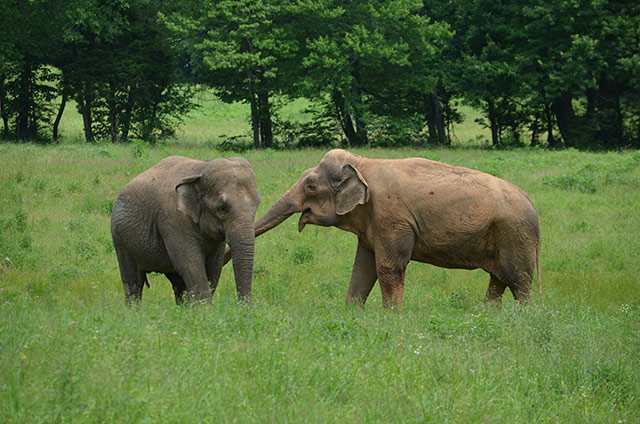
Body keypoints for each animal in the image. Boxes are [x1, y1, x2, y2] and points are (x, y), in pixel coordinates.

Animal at [112, 156, 260, 304]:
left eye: (257, 204)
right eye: (222, 209)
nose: (243, 306)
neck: (200, 169)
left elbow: (215, 265)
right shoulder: (173, 219)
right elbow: (190, 264)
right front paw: (205, 308)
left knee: (178, 283)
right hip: (119, 236)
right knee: (133, 282)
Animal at [245, 149, 540, 308]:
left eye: (310, 186)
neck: (364, 162)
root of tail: (531, 201)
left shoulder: (391, 218)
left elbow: (388, 268)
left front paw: (392, 317)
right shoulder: (371, 226)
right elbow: (362, 270)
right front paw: (352, 314)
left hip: (514, 235)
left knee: (519, 282)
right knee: (499, 280)